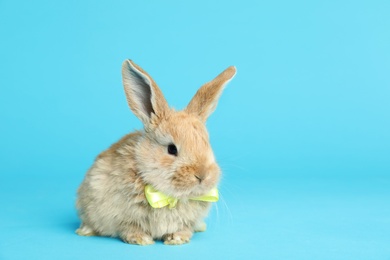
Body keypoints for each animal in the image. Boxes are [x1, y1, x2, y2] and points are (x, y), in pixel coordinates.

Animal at [75, 60, 236, 245]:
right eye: (171, 149)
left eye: (207, 144)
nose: (202, 176)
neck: (168, 196)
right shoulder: (122, 217)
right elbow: (129, 228)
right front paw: (142, 240)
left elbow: (183, 228)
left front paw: (177, 239)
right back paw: (85, 231)